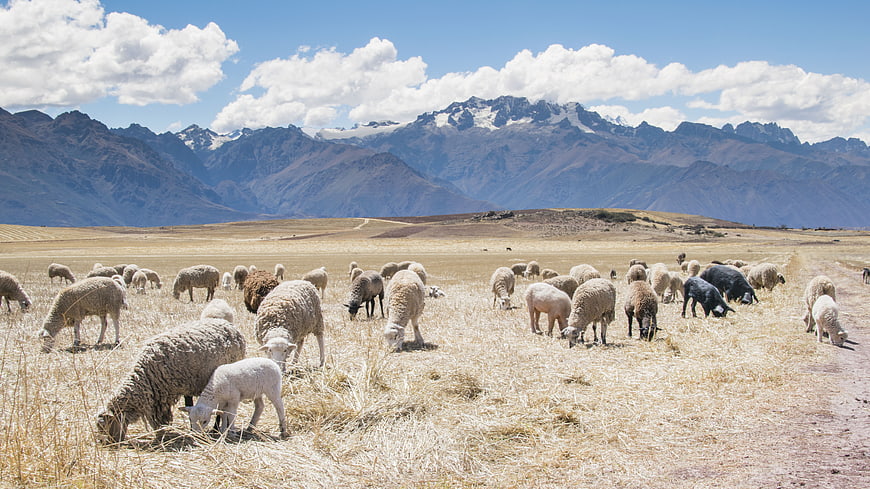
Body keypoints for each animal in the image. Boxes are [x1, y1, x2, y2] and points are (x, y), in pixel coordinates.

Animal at [95, 317, 246, 443]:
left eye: (107, 424)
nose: (108, 443)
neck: (146, 375)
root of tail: (229, 325)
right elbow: (187, 406)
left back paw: (215, 428)